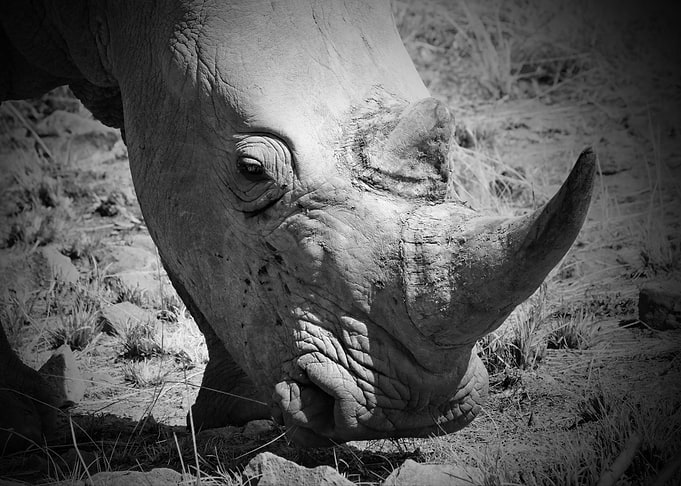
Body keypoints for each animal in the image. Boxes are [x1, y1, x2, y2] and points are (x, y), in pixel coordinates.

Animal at [0, 0, 595, 447]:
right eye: (251, 170)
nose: (414, 412)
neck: (118, 20)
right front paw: (24, 428)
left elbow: (192, 251)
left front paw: (239, 417)